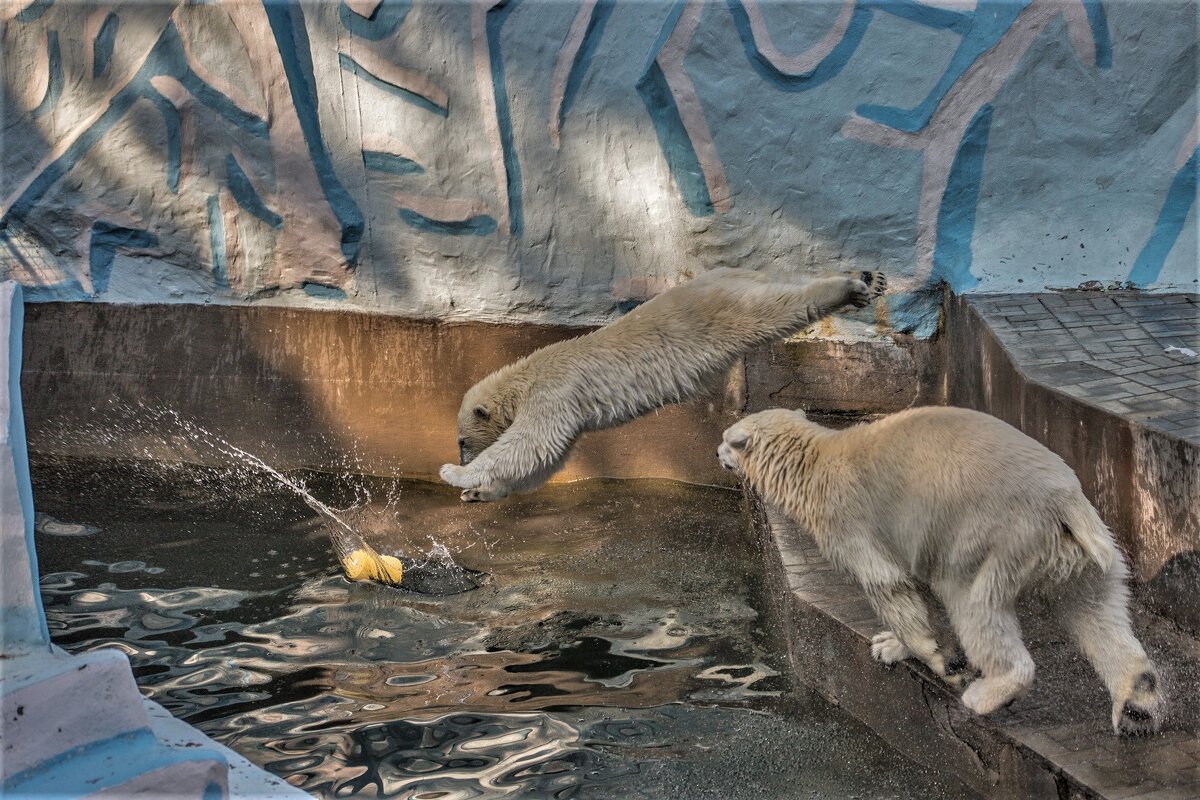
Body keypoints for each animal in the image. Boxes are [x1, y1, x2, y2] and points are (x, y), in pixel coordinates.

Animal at [441, 272, 883, 503]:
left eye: (462, 440)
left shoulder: (555, 393)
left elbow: (530, 443)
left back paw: (855, 285)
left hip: (714, 317)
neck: (528, 374)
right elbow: (547, 459)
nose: (458, 456)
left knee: (776, 307)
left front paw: (456, 476)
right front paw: (479, 494)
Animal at [720, 407, 1161, 738]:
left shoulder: (850, 522)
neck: (813, 462)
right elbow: (915, 590)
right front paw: (888, 645)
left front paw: (939, 660)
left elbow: (888, 585)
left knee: (975, 607)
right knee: (1097, 613)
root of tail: (1063, 503)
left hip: (993, 537)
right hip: (1089, 555)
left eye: (726, 438)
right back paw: (1138, 702)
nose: (717, 451)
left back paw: (984, 693)